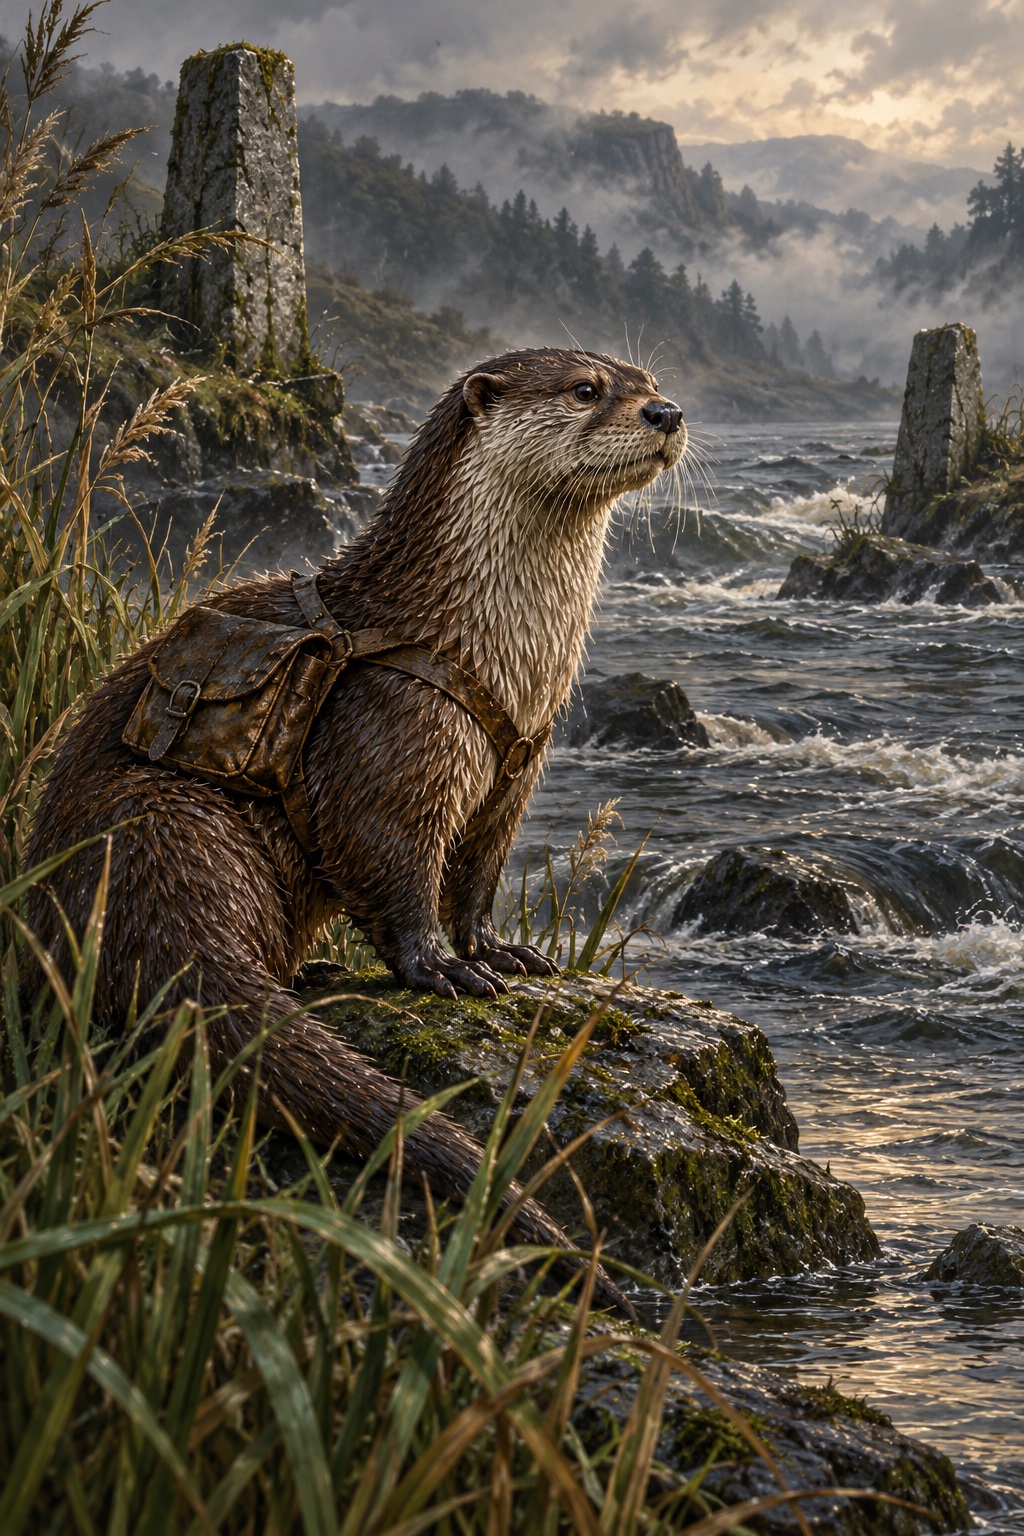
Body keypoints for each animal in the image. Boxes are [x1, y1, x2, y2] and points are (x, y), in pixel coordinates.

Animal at [26, 347, 686, 1291]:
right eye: (587, 390)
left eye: (648, 379)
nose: (666, 413)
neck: (492, 650)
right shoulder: (394, 734)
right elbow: (389, 858)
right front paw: (439, 969)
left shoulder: (516, 769)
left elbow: (478, 873)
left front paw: (500, 952)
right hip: (173, 821)